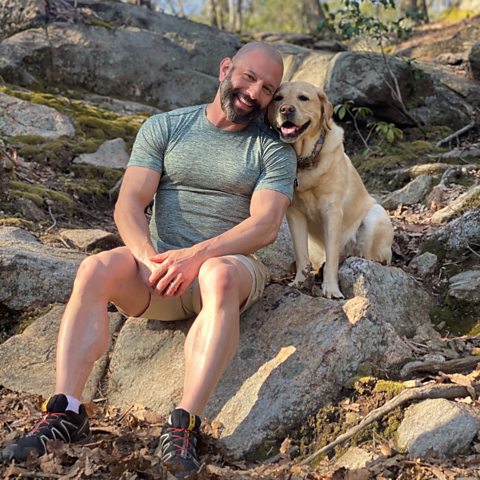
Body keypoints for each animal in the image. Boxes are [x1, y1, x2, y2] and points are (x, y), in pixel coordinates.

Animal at [266, 82, 394, 300]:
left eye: (303, 98)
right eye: (278, 98)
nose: (286, 109)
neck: (305, 159)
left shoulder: (332, 212)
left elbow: (332, 258)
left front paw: (332, 289)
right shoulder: (294, 214)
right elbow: (301, 253)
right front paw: (300, 283)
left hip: (375, 216)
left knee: (371, 258)